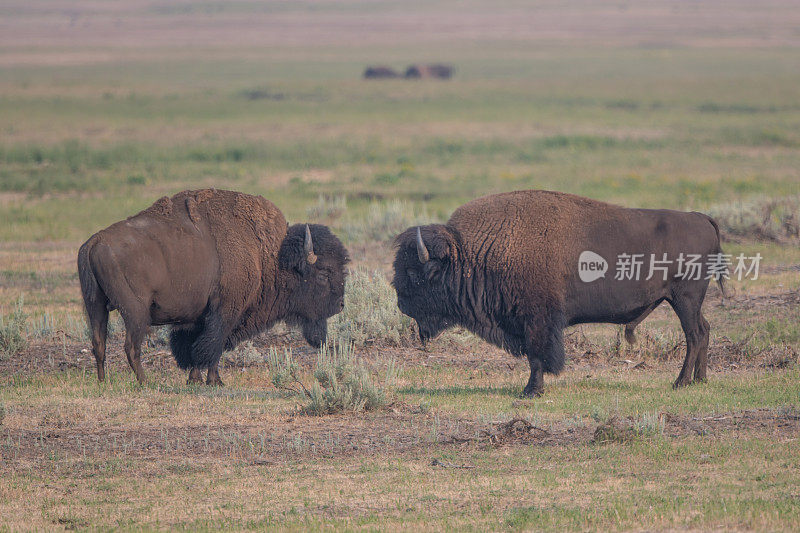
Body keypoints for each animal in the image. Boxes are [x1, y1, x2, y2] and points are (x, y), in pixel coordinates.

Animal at [79, 189, 350, 384]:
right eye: (324, 273)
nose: (340, 305)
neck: (270, 256)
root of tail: (95, 241)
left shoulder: (197, 318)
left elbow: (193, 348)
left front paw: (195, 380)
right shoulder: (225, 312)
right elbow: (212, 346)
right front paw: (214, 381)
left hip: (95, 305)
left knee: (98, 343)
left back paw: (103, 382)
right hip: (136, 312)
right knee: (131, 346)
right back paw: (146, 383)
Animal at [394, 190, 724, 394]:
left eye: (414, 273)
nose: (400, 304)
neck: (473, 252)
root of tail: (700, 217)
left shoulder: (538, 320)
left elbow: (538, 355)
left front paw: (531, 391)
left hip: (684, 299)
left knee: (694, 334)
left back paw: (680, 382)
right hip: (688, 302)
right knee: (704, 330)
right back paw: (700, 380)